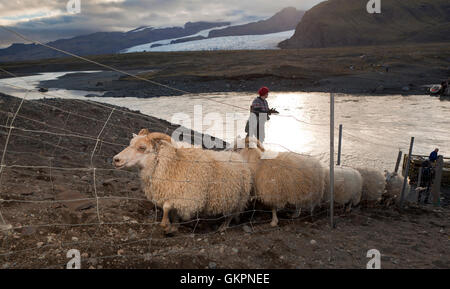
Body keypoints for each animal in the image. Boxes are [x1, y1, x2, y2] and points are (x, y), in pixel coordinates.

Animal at [113, 129, 253, 233]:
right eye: (130, 143)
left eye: (142, 147)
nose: (116, 159)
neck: (171, 163)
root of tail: (239, 157)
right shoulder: (173, 193)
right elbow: (173, 212)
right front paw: (174, 226)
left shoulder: (186, 195)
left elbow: (167, 206)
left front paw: (166, 225)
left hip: (238, 198)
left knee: (231, 214)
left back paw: (223, 227)